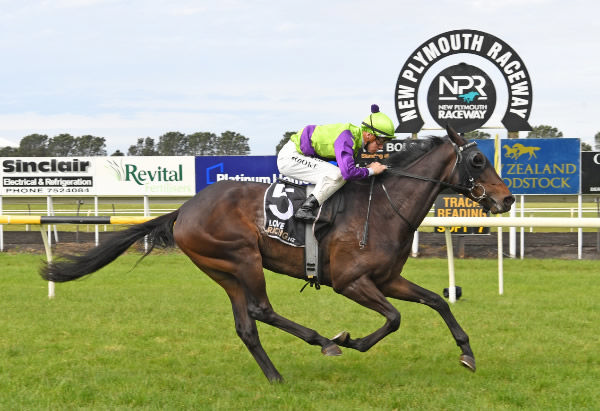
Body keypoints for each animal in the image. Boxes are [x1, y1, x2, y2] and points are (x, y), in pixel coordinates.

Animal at [42, 126, 512, 384]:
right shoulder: (350, 282)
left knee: (247, 325)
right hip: (243, 258)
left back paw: (275, 375)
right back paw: (325, 342)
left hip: (224, 270)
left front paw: (467, 353)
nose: (506, 199)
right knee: (261, 309)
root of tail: (184, 209)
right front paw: (352, 340)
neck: (381, 207)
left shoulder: (387, 279)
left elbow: (436, 301)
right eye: (476, 160)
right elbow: (394, 318)